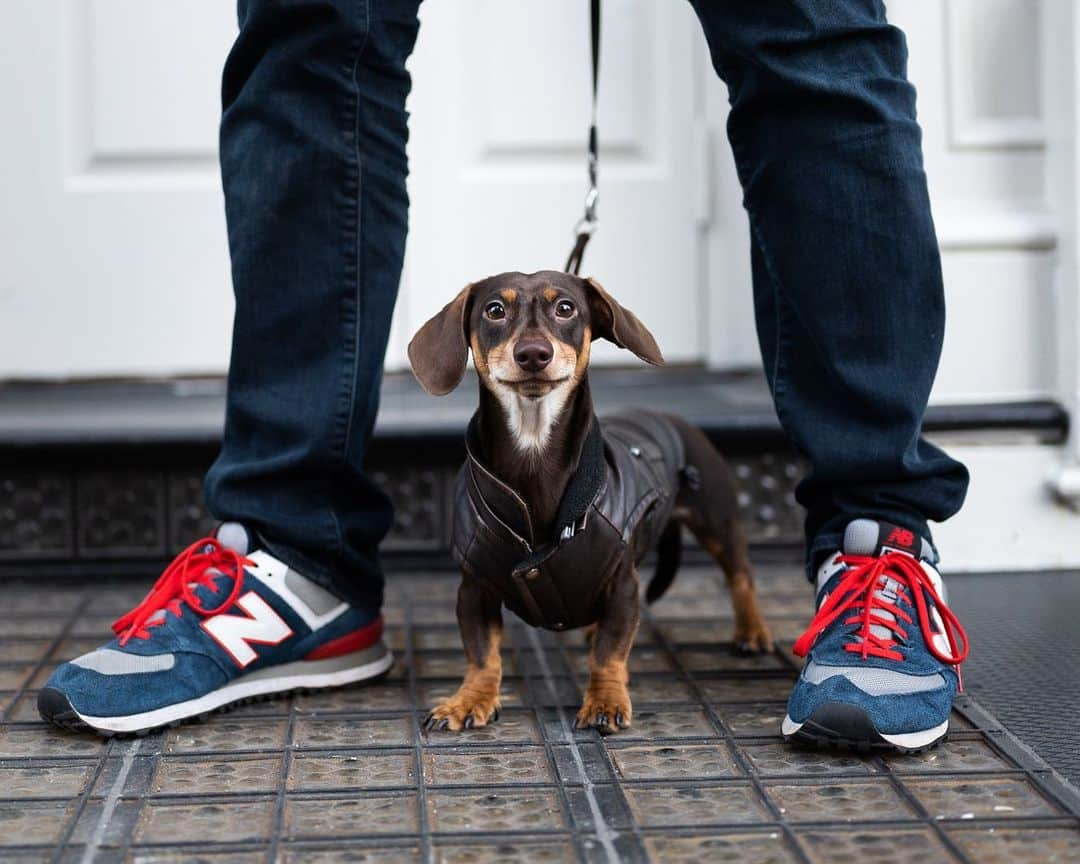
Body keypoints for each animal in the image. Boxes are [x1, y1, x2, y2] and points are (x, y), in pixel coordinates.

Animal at [406, 267, 768, 730]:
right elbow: (482, 653)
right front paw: (469, 700)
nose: (533, 353)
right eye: (494, 310)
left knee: (741, 576)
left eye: (566, 308)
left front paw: (605, 700)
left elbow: (609, 653)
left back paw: (752, 632)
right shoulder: (474, 588)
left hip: (717, 520)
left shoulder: (622, 583)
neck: (534, 459)